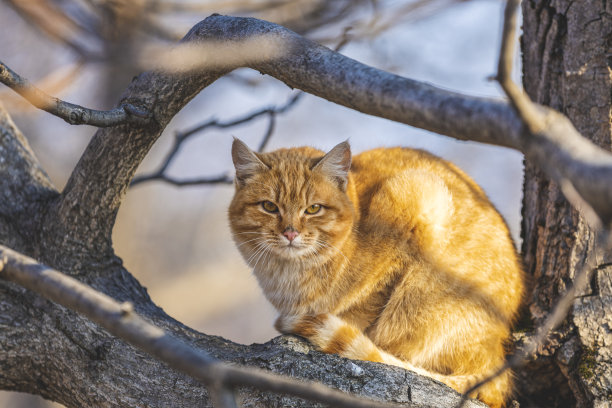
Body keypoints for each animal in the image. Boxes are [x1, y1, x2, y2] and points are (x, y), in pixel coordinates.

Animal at [227, 139, 524, 406]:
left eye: (313, 209)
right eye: (269, 206)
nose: (290, 233)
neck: (289, 275)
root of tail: (498, 356)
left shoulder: (411, 200)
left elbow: (368, 308)